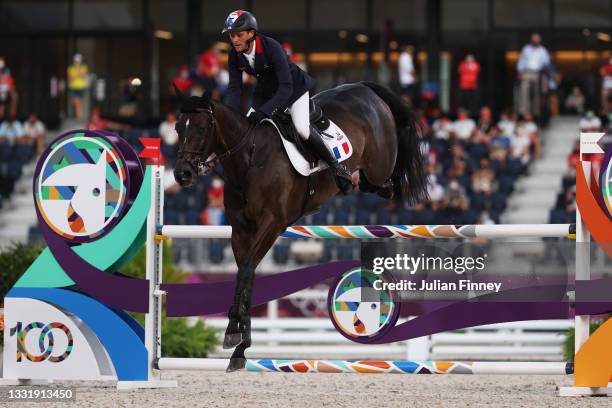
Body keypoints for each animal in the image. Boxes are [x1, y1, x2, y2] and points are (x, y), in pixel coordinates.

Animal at [172, 81, 428, 372]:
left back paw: (351, 178)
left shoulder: (272, 223)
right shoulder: (241, 229)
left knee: (386, 183)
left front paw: (235, 335)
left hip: (379, 166)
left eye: (202, 128)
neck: (249, 159)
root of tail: (364, 87)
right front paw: (239, 344)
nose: (182, 174)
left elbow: (246, 270)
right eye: (178, 128)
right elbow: (245, 275)